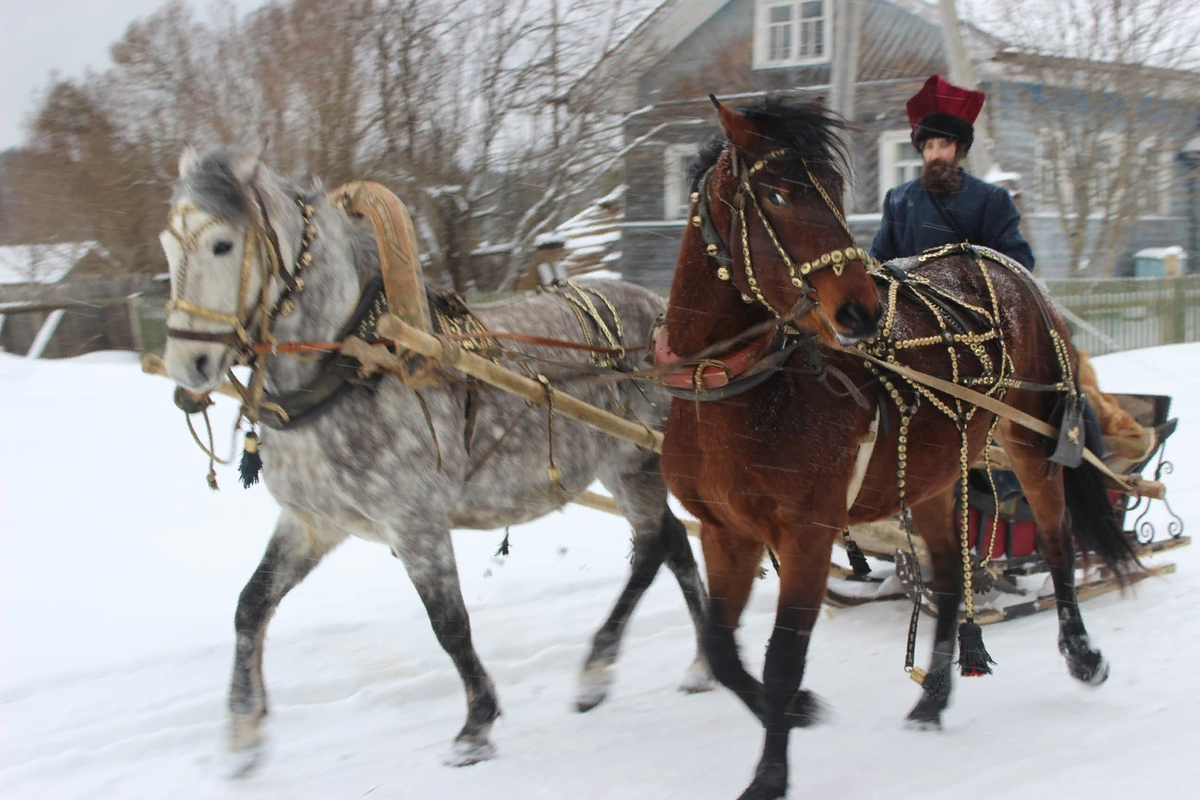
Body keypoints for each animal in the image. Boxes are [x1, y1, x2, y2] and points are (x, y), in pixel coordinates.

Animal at [154, 145, 705, 777]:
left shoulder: (415, 523)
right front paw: (244, 729)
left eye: (223, 244)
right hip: (628, 467)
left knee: (655, 548)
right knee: (672, 544)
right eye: (168, 243)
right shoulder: (313, 523)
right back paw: (698, 661)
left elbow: (450, 625)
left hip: (639, 462)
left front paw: (476, 726)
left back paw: (600, 667)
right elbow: (250, 606)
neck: (352, 365)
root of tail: (661, 312)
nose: (187, 364)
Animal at [662, 98, 1137, 800]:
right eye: (776, 194)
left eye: (835, 191)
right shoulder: (727, 532)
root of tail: (1004, 265)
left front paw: (771, 772)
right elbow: (722, 648)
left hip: (1032, 441)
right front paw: (799, 711)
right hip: (936, 477)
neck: (737, 388)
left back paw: (1082, 654)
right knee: (947, 579)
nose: (858, 312)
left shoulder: (807, 534)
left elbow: (781, 659)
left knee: (1056, 541)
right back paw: (933, 698)